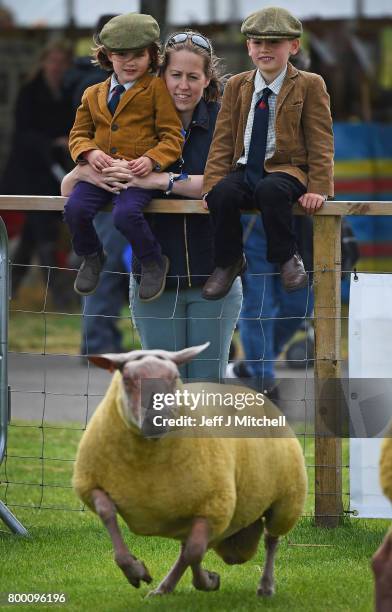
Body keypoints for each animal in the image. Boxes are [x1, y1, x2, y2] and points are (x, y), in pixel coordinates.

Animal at [72, 344, 306, 596]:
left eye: (175, 377)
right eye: (127, 379)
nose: (157, 418)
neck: (146, 461)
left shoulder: (213, 507)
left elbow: (194, 553)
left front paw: (208, 581)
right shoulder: (91, 484)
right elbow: (107, 513)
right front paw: (135, 571)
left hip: (285, 501)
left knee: (270, 540)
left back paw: (265, 586)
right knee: (190, 549)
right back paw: (163, 589)